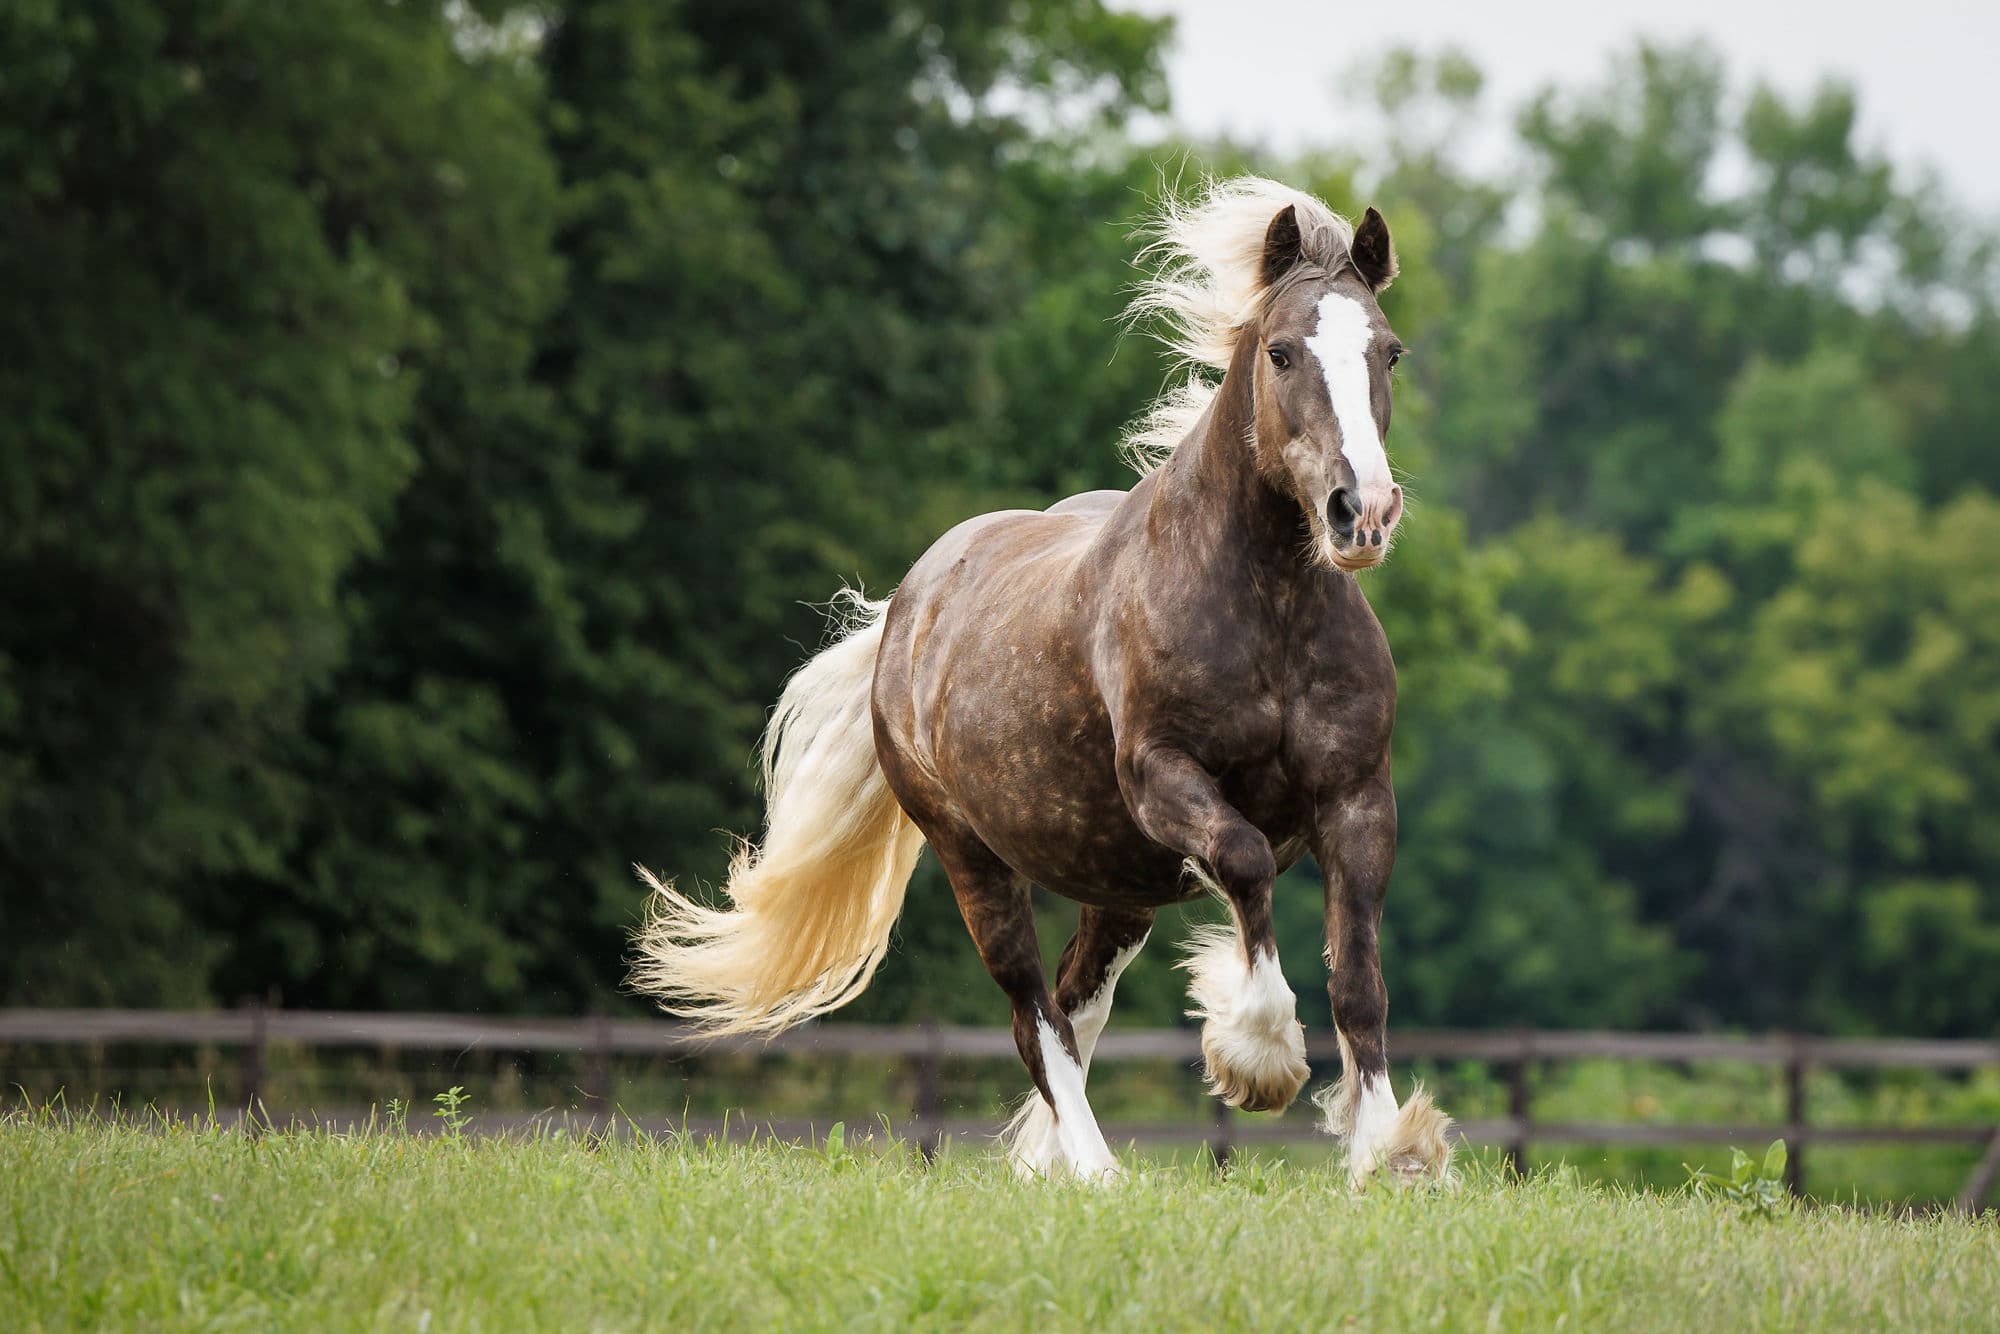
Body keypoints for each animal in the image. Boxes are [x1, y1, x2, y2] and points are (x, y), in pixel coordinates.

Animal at [636, 177, 1456, 1192]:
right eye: (1282, 351)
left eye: (1389, 351)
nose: (1362, 514)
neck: (1266, 604)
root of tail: (909, 606)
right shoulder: (1164, 778)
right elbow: (1246, 863)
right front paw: (1257, 1057)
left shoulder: (1356, 798)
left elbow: (1359, 982)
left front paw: (1394, 1156)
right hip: (975, 860)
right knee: (1036, 1013)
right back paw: (1096, 1171)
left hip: (1121, 881)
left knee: (1076, 1000)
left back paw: (1048, 1163)